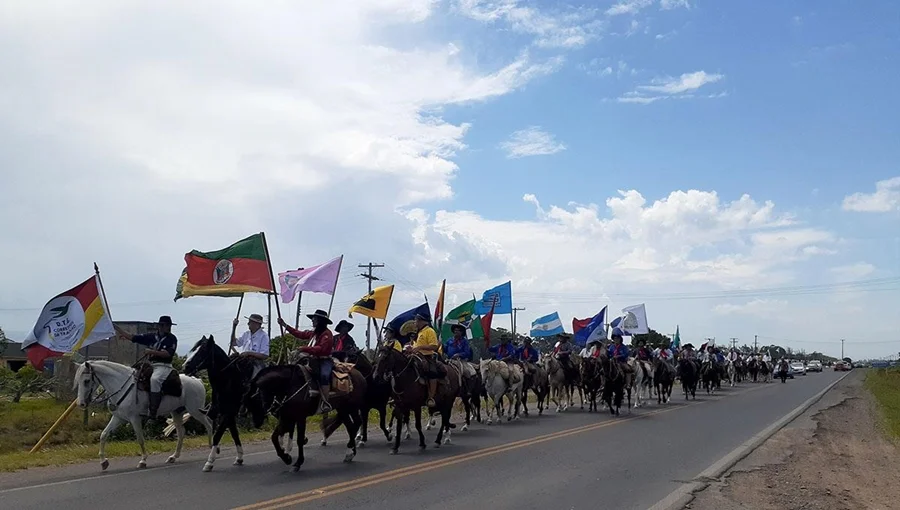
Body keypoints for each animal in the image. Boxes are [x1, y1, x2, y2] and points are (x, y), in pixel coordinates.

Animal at [75, 358, 213, 470]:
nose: (81, 403)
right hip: (176, 412)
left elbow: (140, 439)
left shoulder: (134, 418)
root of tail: (198, 381)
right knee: (181, 432)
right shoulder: (118, 417)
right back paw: (173, 457)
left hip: (196, 411)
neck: (122, 386)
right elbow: (103, 435)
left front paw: (143, 461)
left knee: (209, 425)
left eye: (86, 381)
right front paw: (103, 462)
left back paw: (211, 448)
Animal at [183, 336, 258, 472]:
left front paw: (209, 462)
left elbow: (217, 435)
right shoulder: (229, 415)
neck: (229, 381)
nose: (185, 367)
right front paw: (239, 458)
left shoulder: (227, 414)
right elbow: (234, 434)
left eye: (202, 351)